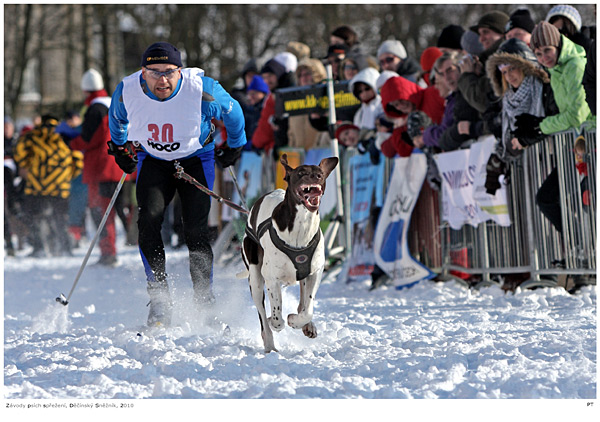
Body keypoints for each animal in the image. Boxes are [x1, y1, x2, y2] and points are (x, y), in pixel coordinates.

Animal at [243, 153, 338, 352]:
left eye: (320, 174)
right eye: (301, 173)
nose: (316, 177)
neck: (301, 226)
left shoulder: (314, 273)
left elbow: (307, 309)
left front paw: (297, 321)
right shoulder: (272, 279)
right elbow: (277, 318)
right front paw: (277, 320)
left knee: (302, 303)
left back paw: (307, 325)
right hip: (255, 279)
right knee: (263, 318)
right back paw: (270, 344)